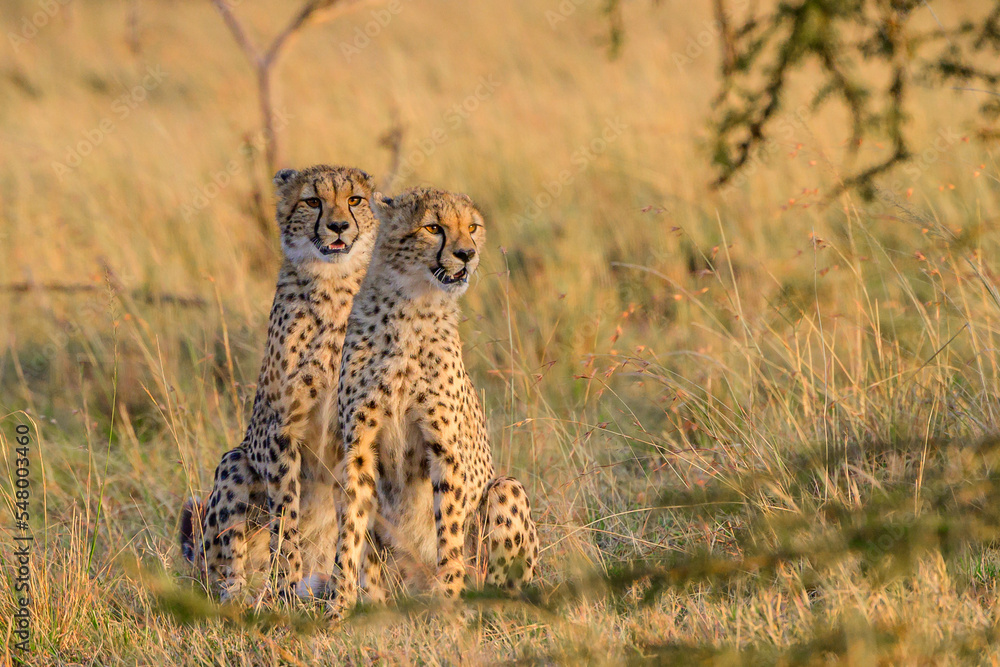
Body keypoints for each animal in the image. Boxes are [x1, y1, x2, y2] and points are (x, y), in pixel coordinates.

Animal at [179, 164, 379, 600]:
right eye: (312, 201)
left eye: (354, 199)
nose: (338, 226)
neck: (333, 285)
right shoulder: (279, 430)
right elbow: (286, 515)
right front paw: (287, 585)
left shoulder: (359, 434)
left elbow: (352, 521)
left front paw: (346, 593)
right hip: (233, 463)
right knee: (224, 567)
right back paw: (243, 593)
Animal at [327, 187, 538, 620]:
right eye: (433, 228)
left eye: (472, 227)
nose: (467, 254)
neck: (411, 305)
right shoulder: (358, 448)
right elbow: (349, 535)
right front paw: (339, 611)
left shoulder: (444, 446)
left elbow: (450, 532)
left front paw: (451, 605)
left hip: (505, 490)